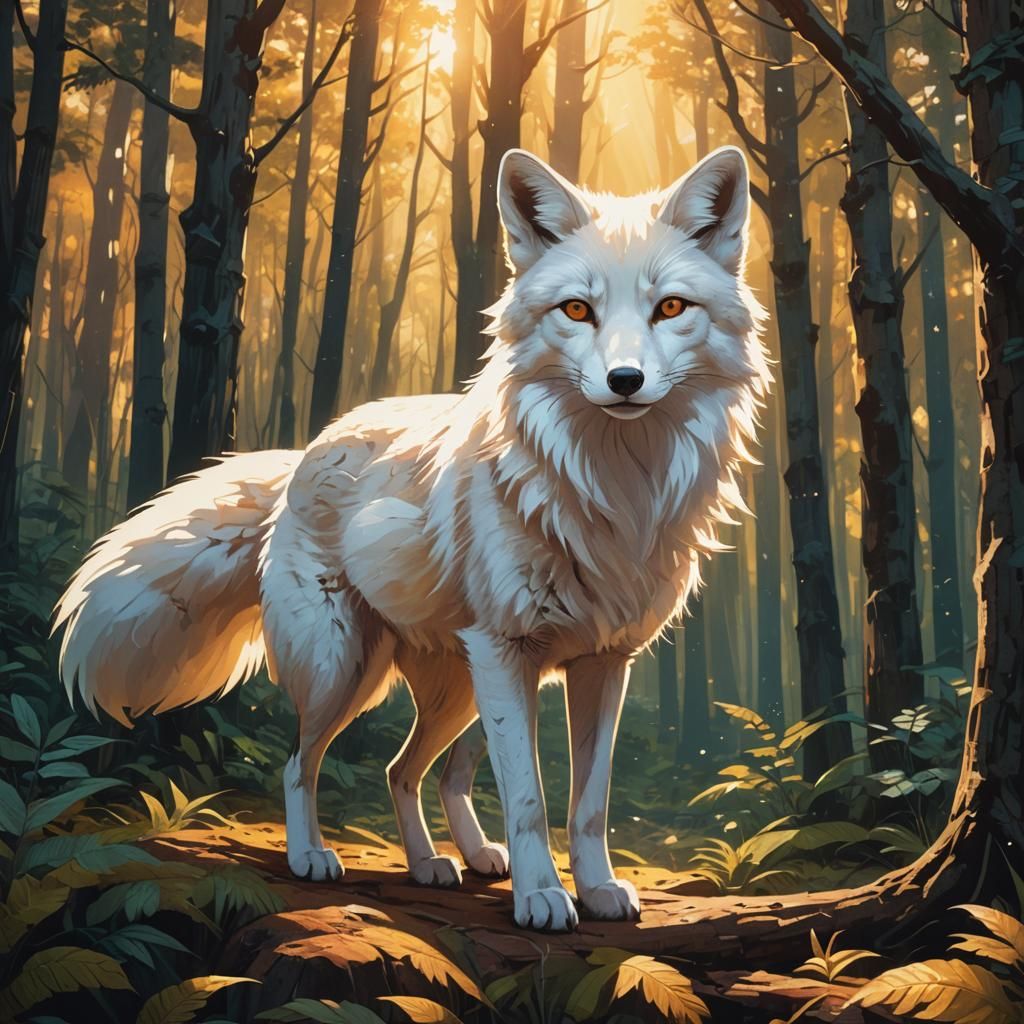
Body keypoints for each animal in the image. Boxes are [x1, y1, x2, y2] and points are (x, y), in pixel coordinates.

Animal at [55, 146, 769, 932]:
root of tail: (307, 451)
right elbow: (529, 800)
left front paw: (597, 889)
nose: (624, 380)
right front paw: (543, 898)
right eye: (577, 310)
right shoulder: (507, 650)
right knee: (302, 763)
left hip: (464, 691)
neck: (613, 490)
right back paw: (314, 857)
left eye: (670, 307)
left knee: (412, 770)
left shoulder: (604, 664)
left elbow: (588, 803)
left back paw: (447, 861)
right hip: (348, 669)